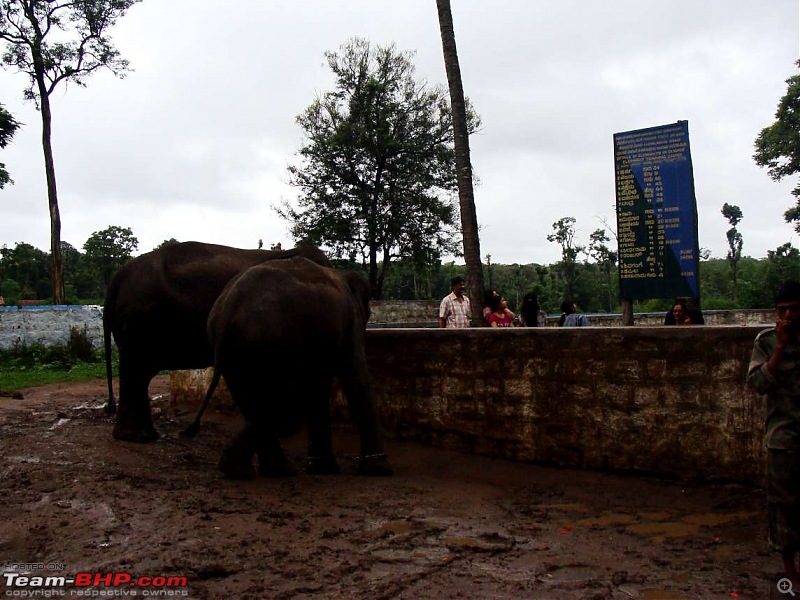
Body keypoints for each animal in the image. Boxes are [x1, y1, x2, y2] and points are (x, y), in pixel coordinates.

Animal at [104, 241, 330, 442]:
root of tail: (119, 275)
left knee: (137, 373)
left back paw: (142, 436)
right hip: (141, 323)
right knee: (137, 370)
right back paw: (138, 437)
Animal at [182, 256, 394, 478]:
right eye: (368, 313)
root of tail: (229, 307)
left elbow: (322, 385)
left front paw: (322, 468)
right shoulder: (348, 322)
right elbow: (353, 376)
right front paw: (379, 471)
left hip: (236, 347)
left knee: (256, 400)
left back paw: (249, 470)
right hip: (273, 342)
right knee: (281, 402)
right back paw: (267, 468)